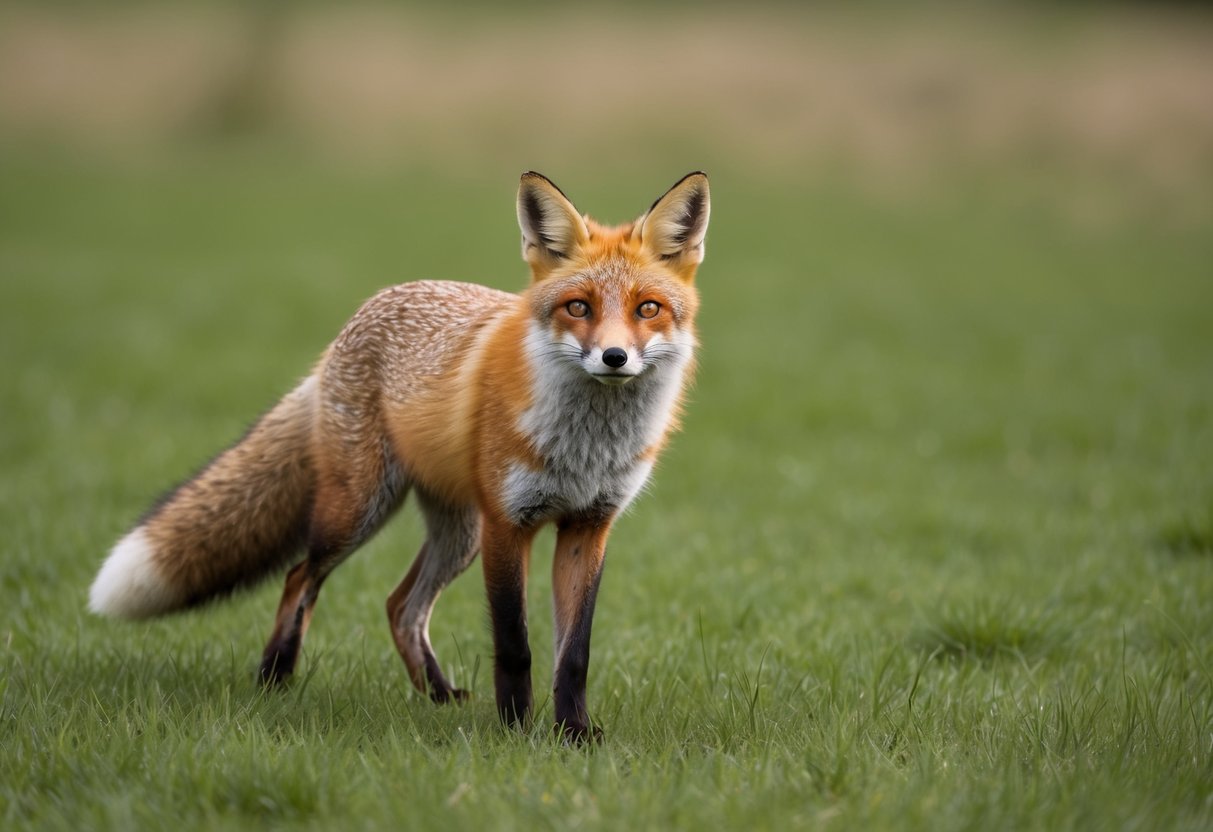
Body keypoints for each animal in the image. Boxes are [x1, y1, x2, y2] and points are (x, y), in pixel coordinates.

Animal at [88, 171, 709, 741]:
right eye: (578, 307)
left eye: (647, 308)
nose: (614, 357)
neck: (586, 447)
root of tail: (357, 319)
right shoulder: (509, 524)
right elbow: (515, 646)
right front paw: (514, 732)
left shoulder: (588, 526)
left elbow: (573, 654)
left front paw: (574, 734)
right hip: (359, 511)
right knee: (299, 577)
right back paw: (274, 678)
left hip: (458, 535)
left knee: (400, 605)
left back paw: (436, 694)